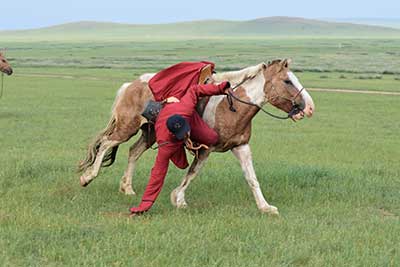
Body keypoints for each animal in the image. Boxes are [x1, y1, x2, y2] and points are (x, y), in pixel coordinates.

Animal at [79, 59, 316, 215]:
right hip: (127, 127)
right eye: (287, 81)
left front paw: (265, 207)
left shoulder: (241, 146)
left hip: (149, 133)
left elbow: (251, 178)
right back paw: (87, 177)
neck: (230, 106)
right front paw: (178, 199)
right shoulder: (205, 148)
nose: (310, 108)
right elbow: (192, 173)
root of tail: (131, 85)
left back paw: (127, 188)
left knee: (133, 152)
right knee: (105, 144)